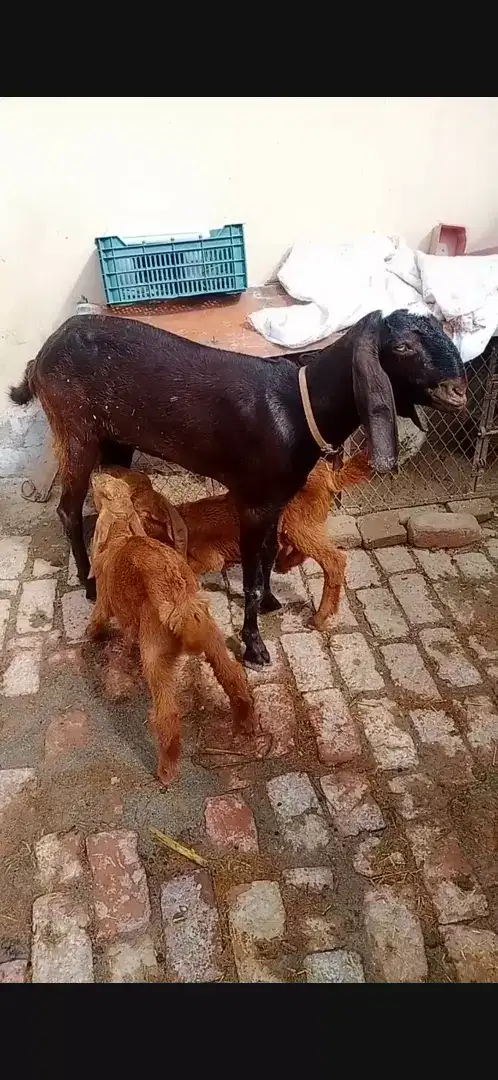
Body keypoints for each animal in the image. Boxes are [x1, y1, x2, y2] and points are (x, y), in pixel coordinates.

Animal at [88, 471, 255, 786]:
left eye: (101, 490)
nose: (94, 473)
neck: (120, 536)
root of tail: (178, 602)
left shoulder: (104, 599)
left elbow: (98, 619)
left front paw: (90, 638)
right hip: (211, 634)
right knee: (232, 675)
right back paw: (245, 722)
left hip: (155, 653)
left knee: (168, 715)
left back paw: (166, 770)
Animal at [106, 452, 373, 631]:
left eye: (141, 513)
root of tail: (330, 474)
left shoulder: (210, 557)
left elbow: (194, 566)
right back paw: (284, 565)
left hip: (301, 523)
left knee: (333, 560)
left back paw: (319, 618)